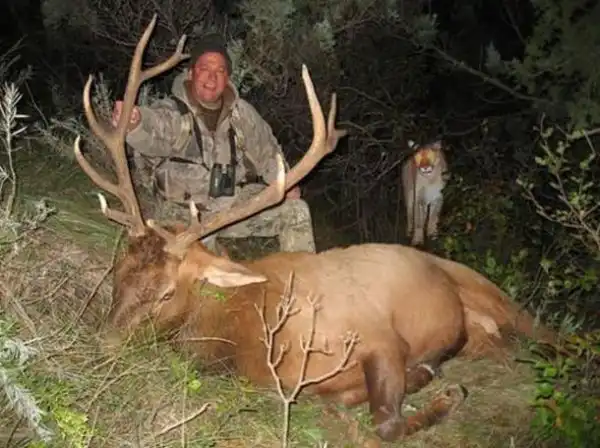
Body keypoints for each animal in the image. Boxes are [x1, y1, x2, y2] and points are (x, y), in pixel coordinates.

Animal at [74, 16, 557, 443]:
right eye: (118, 273)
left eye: (167, 292)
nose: (105, 344)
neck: (251, 337)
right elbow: (346, 402)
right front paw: (425, 377)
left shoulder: (378, 336)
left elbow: (386, 423)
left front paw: (444, 392)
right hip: (485, 334)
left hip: (491, 292)